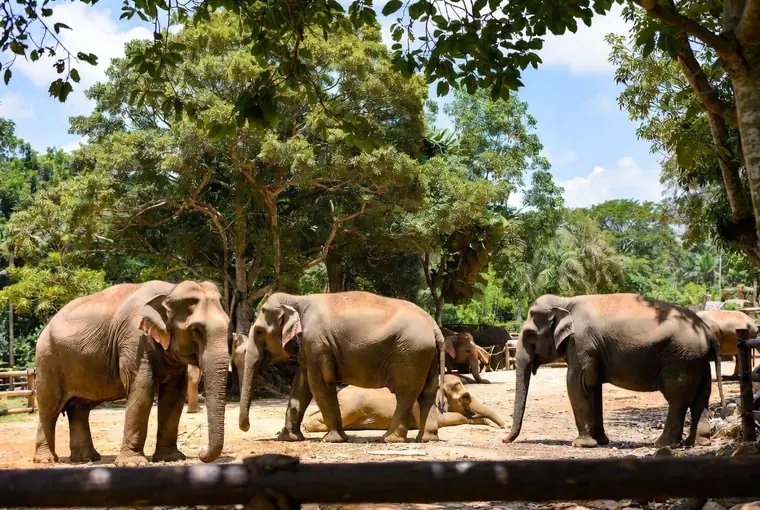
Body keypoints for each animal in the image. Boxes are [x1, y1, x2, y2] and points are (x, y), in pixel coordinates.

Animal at [33, 280, 230, 466]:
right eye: (196, 330)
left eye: (228, 325)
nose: (200, 451)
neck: (170, 290)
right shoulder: (134, 340)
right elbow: (142, 389)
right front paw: (132, 463)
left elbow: (173, 396)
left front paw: (170, 458)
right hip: (47, 360)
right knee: (49, 407)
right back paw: (46, 460)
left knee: (79, 409)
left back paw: (86, 458)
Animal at [238, 291, 448, 444]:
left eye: (259, 332)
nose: (246, 427)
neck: (297, 299)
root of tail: (435, 328)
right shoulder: (309, 347)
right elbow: (301, 386)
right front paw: (289, 438)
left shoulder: (316, 342)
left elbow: (319, 384)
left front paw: (332, 440)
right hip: (426, 355)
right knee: (427, 393)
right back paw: (426, 439)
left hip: (411, 353)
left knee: (406, 393)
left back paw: (389, 439)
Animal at [505, 293, 725, 449]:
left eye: (530, 336)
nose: (505, 440)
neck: (565, 301)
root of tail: (707, 331)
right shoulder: (592, 349)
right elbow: (593, 386)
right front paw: (601, 441)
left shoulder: (581, 342)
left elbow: (578, 383)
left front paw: (582, 444)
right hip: (698, 361)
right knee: (701, 397)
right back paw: (697, 443)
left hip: (681, 358)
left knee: (677, 398)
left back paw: (663, 444)